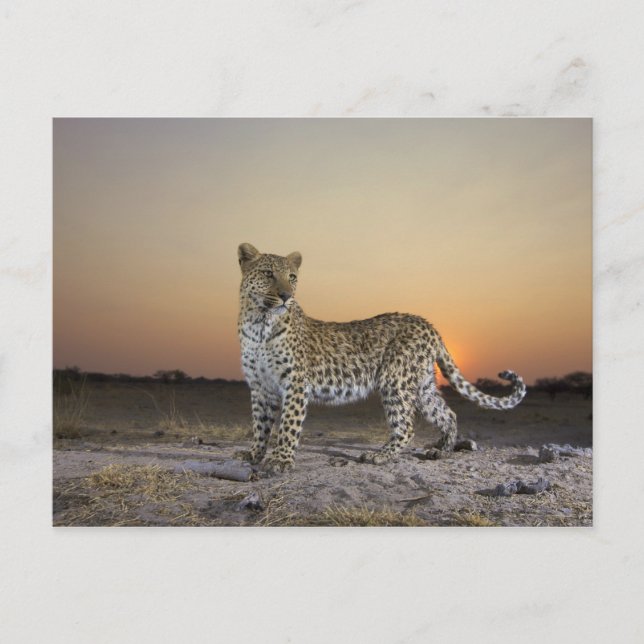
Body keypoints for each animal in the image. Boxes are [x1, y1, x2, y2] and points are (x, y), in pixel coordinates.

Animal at [235, 242, 527, 473]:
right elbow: (260, 423)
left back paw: (380, 455)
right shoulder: (260, 387)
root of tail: (429, 324)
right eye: (268, 273)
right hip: (421, 384)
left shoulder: (295, 384)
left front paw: (281, 460)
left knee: (406, 425)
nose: (286, 296)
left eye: (292, 277)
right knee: (447, 413)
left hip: (394, 379)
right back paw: (441, 450)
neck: (259, 324)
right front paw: (254, 454)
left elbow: (288, 425)